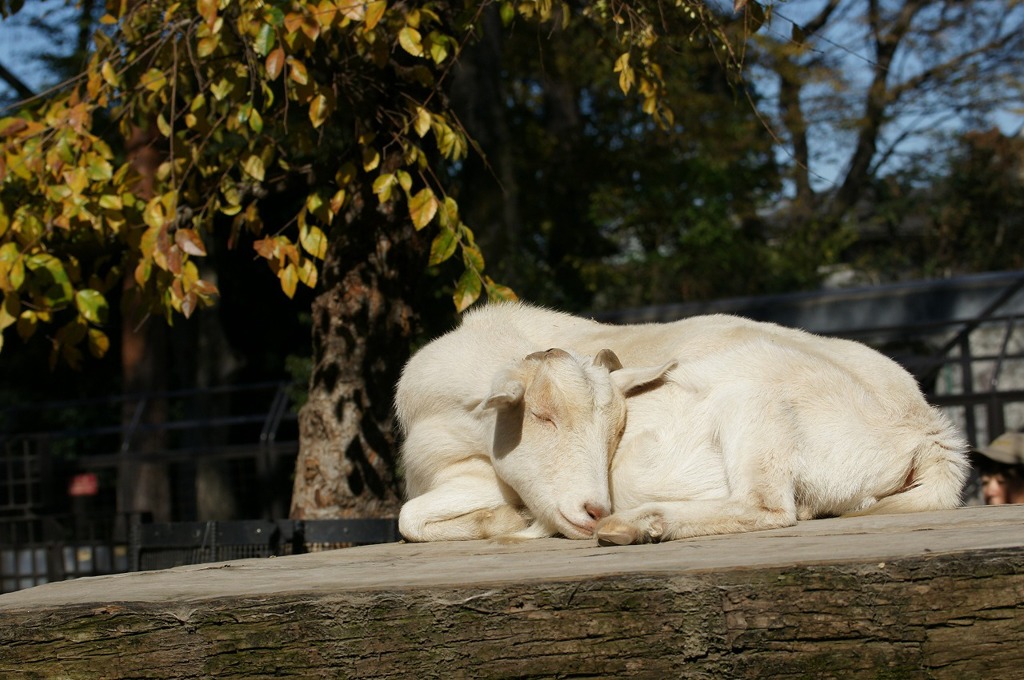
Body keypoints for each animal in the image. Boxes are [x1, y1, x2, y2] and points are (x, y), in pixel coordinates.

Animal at [393, 301, 966, 540]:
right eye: (541, 415)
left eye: (615, 430)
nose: (593, 509)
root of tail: (927, 431)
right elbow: (412, 518)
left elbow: (408, 519)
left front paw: (510, 521)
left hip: (754, 404)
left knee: (768, 506)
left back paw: (638, 525)